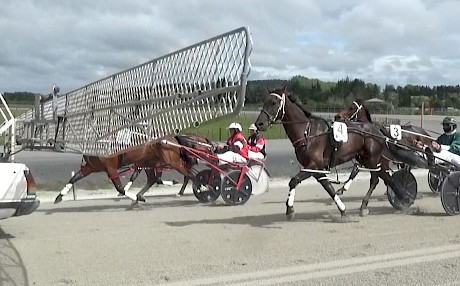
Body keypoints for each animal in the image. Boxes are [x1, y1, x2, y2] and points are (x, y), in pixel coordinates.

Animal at [54, 133, 213, 204]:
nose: (57, 144)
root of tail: (172, 139)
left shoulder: (111, 168)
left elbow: (119, 186)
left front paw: (129, 195)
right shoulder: (90, 168)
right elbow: (74, 178)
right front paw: (59, 197)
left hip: (173, 161)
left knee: (189, 175)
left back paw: (203, 188)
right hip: (152, 162)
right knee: (153, 179)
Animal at [255, 86, 410, 220]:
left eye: (274, 102)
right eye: (265, 102)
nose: (259, 123)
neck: (308, 131)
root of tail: (376, 128)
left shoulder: (312, 165)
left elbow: (293, 181)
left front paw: (290, 209)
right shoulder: (316, 168)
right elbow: (328, 187)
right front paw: (342, 210)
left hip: (372, 159)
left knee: (377, 179)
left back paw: (394, 199)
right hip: (366, 158)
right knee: (386, 178)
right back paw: (400, 198)